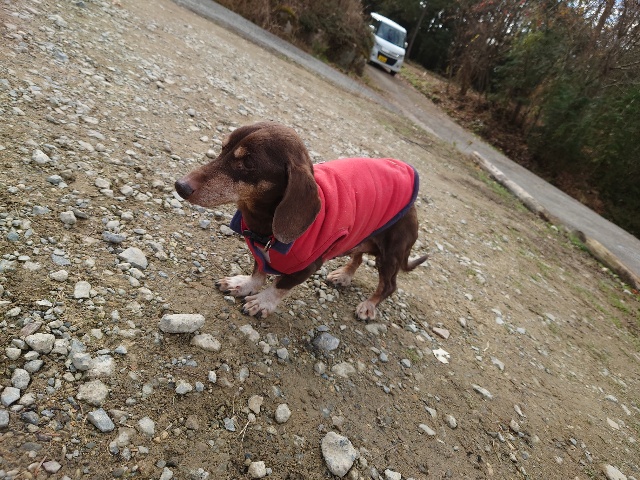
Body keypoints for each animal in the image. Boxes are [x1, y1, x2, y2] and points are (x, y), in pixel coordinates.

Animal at [175, 121, 427, 320]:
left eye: (248, 163)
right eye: (223, 147)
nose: (180, 186)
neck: (264, 228)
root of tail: (414, 208)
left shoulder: (308, 267)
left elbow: (279, 286)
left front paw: (262, 302)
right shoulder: (259, 252)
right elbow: (258, 271)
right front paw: (244, 284)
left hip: (390, 254)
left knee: (389, 285)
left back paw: (369, 305)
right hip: (361, 234)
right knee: (358, 257)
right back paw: (344, 275)